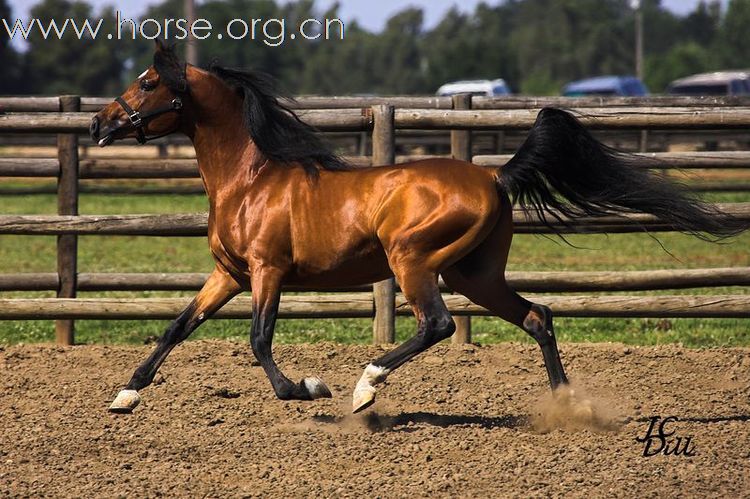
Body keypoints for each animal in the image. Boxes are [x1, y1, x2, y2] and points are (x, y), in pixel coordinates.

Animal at [91, 41, 744, 414]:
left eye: (147, 83)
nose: (100, 123)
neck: (250, 181)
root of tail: (494, 177)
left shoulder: (267, 272)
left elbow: (259, 340)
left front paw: (309, 388)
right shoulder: (227, 274)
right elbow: (178, 325)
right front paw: (126, 394)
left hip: (414, 262)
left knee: (439, 324)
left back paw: (366, 386)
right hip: (474, 273)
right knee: (537, 315)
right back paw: (567, 407)